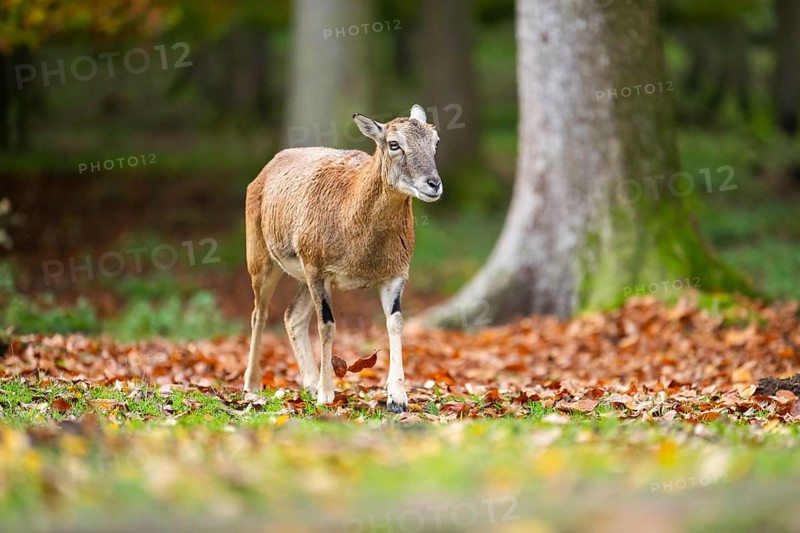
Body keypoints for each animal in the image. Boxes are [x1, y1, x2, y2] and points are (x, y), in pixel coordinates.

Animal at [243, 104, 442, 412]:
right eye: (393, 144)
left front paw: (397, 400)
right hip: (263, 259)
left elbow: (395, 322)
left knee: (292, 317)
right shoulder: (317, 268)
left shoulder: (395, 275)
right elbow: (327, 326)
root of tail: (266, 169)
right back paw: (252, 386)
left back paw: (309, 383)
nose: (433, 184)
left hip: (303, 277)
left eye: (435, 142)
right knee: (259, 314)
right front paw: (326, 395)